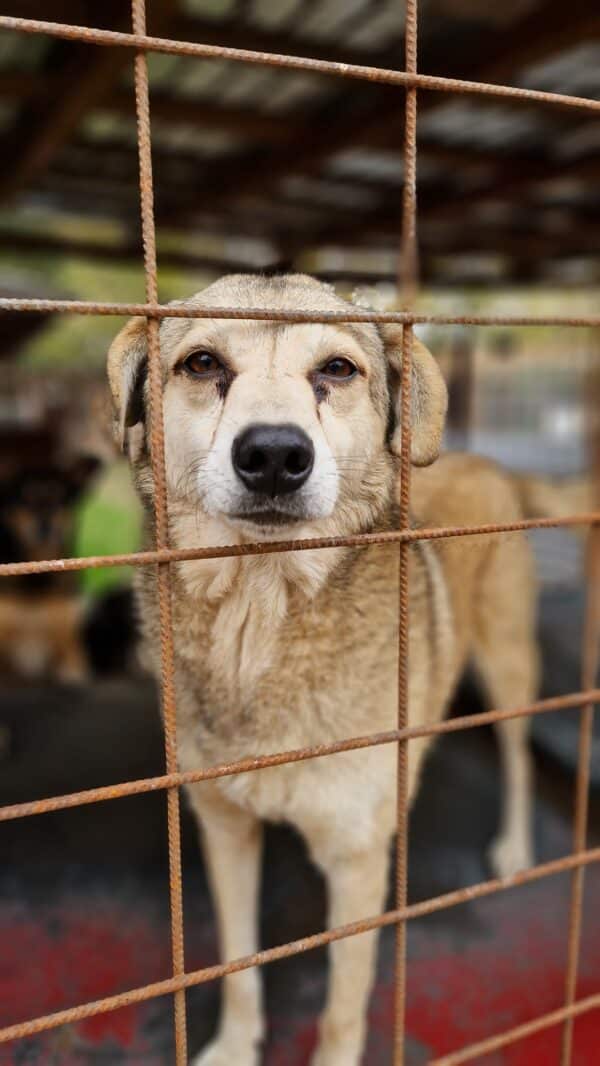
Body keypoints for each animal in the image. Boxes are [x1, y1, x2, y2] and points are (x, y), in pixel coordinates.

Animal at [109, 277, 545, 1066]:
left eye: (337, 369)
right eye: (201, 363)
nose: (275, 454)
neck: (261, 615)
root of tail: (484, 460)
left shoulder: (356, 859)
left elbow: (344, 1000)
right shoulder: (224, 827)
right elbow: (239, 961)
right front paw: (235, 1044)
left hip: (508, 667)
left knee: (520, 757)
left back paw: (517, 848)